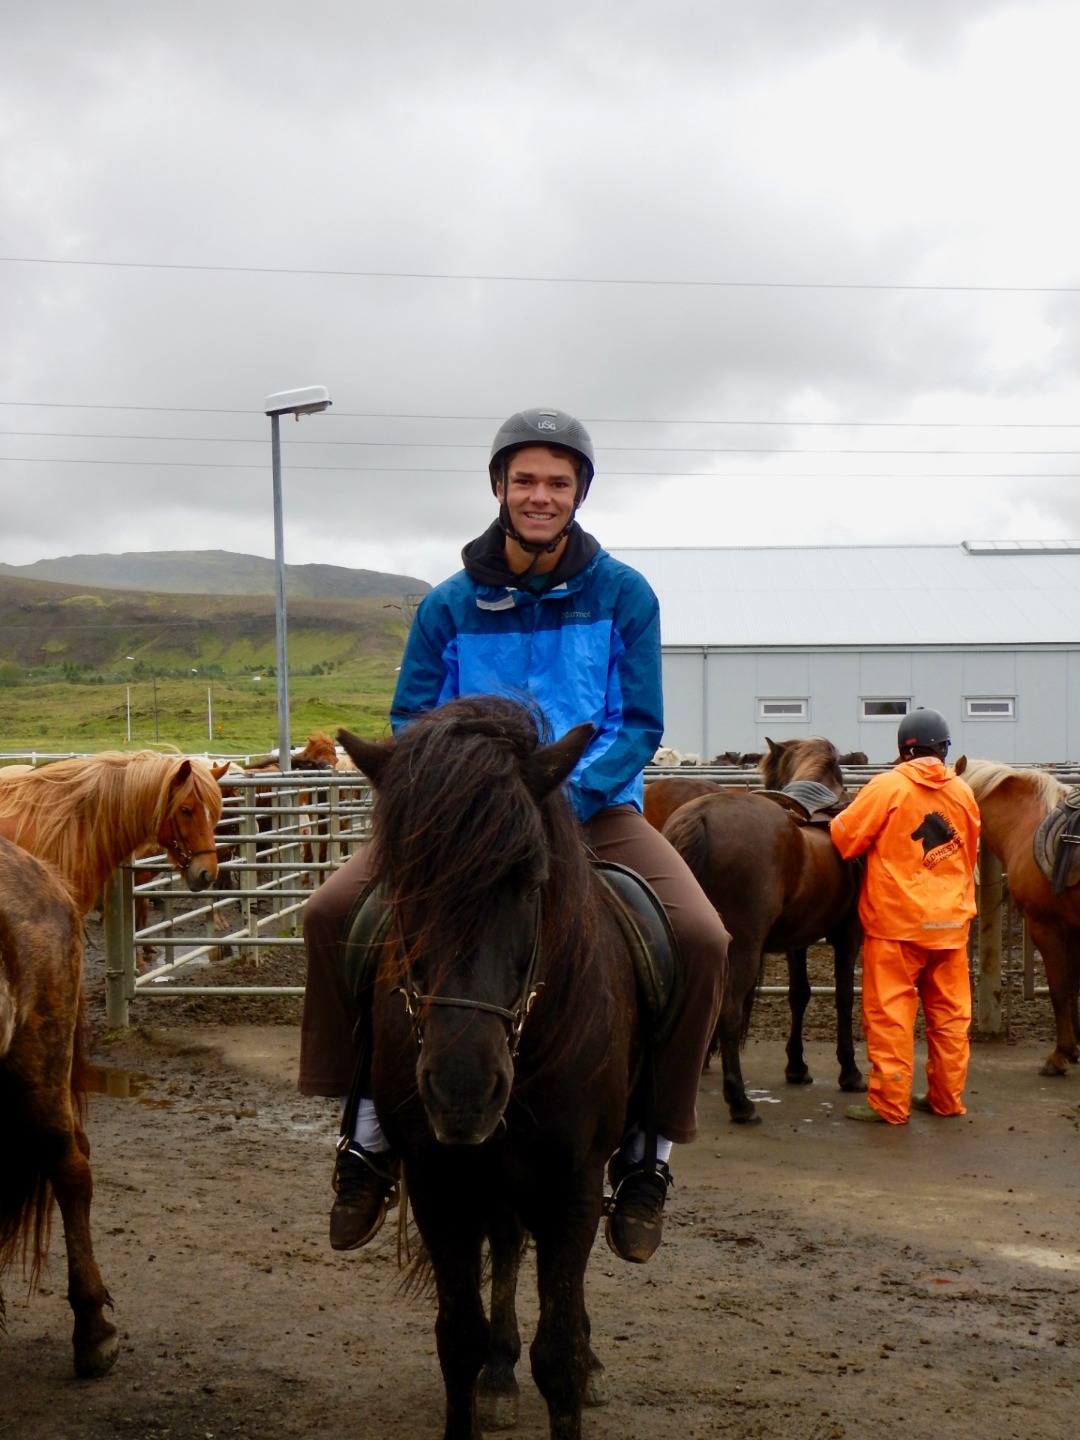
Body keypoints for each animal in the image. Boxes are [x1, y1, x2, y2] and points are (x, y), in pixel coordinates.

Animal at [337, 696, 639, 1440]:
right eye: (405, 882)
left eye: (529, 880)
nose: (463, 1090)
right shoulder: (441, 1180)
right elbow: (459, 1338)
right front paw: (486, 1375)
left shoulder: (573, 1181)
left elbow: (559, 1351)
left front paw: (576, 1364)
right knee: (505, 1244)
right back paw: (502, 1374)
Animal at [662, 735, 864, 1123]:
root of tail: (700, 816)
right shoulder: (849, 935)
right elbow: (844, 997)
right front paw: (850, 1071)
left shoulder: (799, 940)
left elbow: (799, 994)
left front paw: (797, 1066)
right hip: (741, 946)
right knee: (728, 1011)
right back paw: (740, 1101)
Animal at [959, 758, 1080, 1077]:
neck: (1027, 824)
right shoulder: (1072, 930)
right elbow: (1072, 988)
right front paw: (1075, 1048)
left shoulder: (1045, 926)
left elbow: (1058, 988)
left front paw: (1060, 1055)